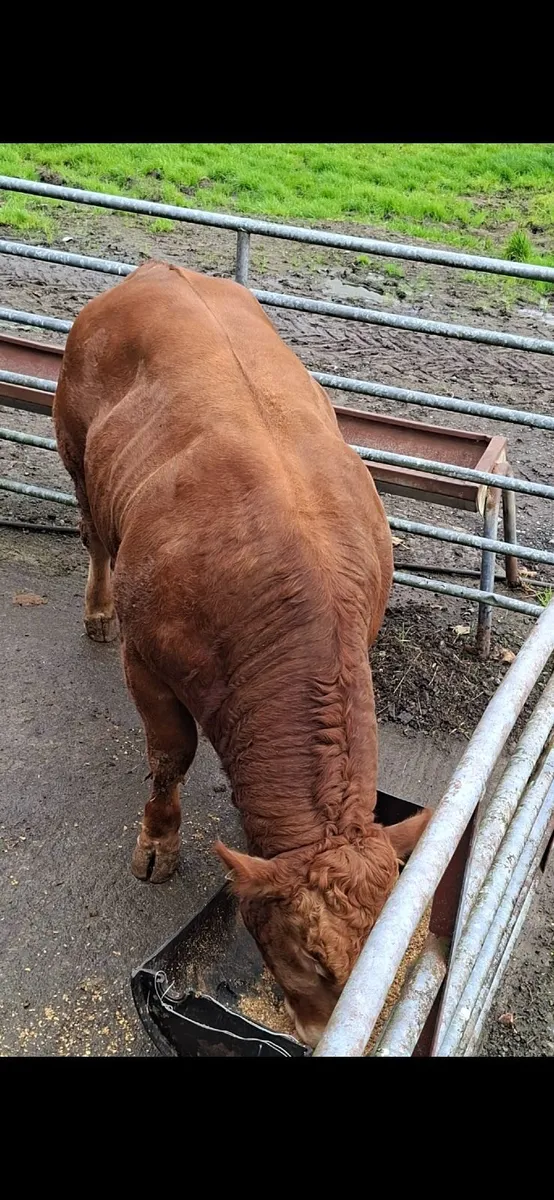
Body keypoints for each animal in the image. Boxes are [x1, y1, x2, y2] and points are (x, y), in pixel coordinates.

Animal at [54, 261, 430, 1048]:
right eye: (310, 954)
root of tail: (155, 270)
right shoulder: (149, 662)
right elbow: (170, 757)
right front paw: (158, 845)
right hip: (74, 447)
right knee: (92, 534)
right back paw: (96, 610)